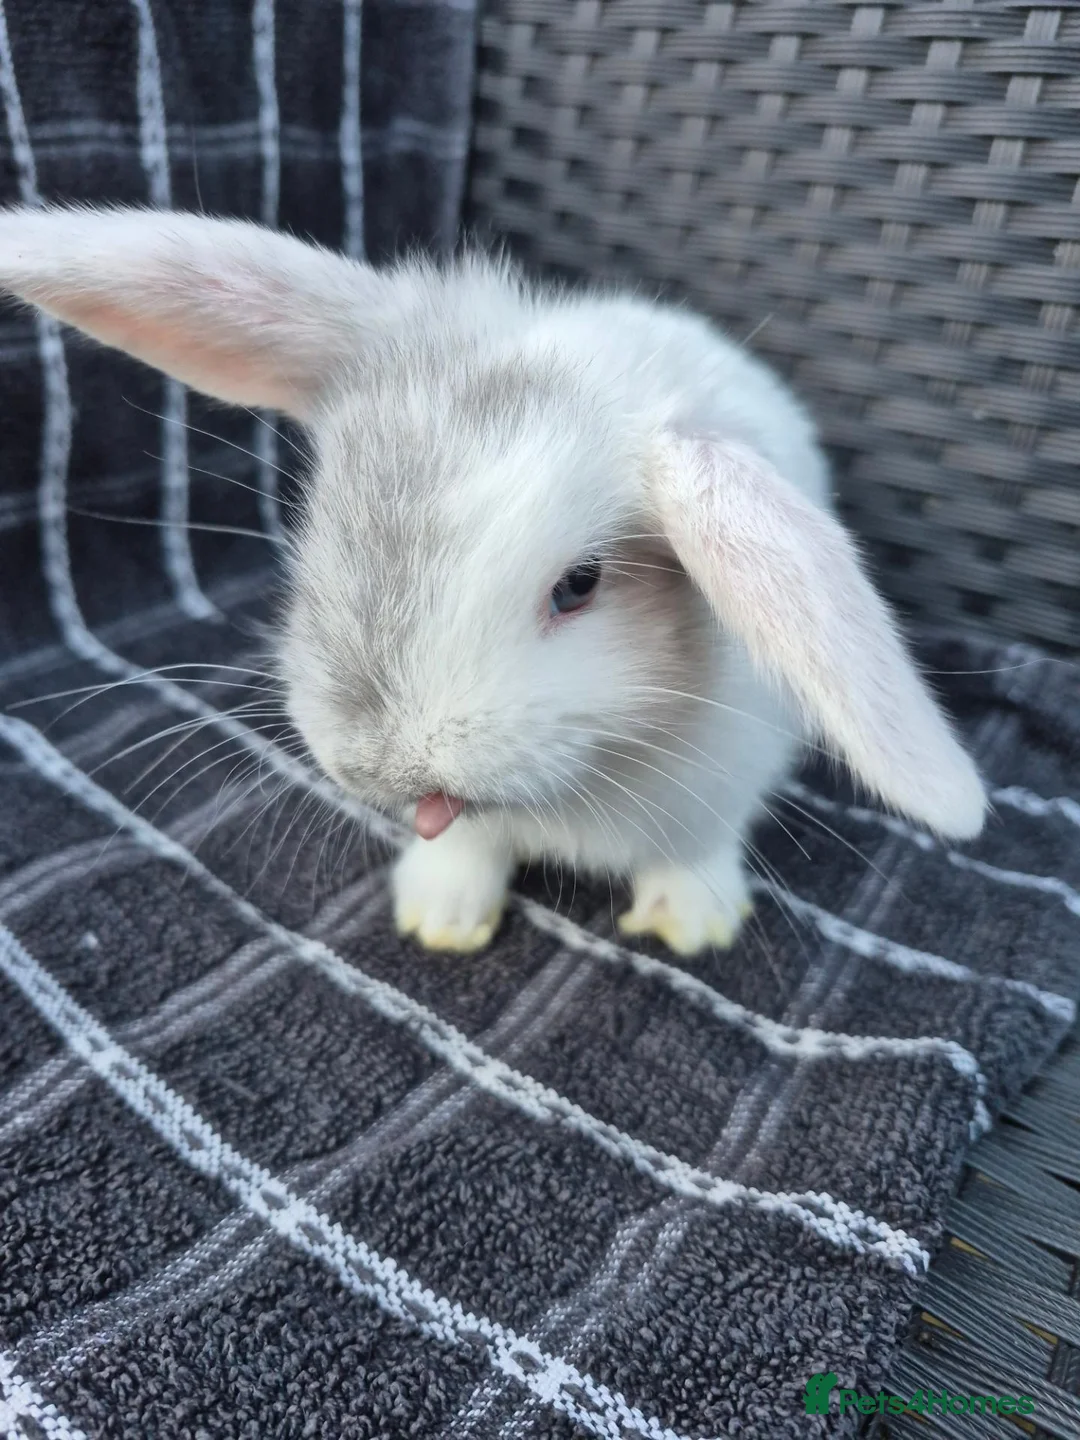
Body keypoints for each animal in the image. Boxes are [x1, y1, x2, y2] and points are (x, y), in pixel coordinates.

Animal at [0, 205, 987, 955]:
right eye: (323, 524)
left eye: (580, 584)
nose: (384, 770)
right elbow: (470, 849)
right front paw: (438, 919)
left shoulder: (723, 789)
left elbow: (698, 850)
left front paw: (692, 927)